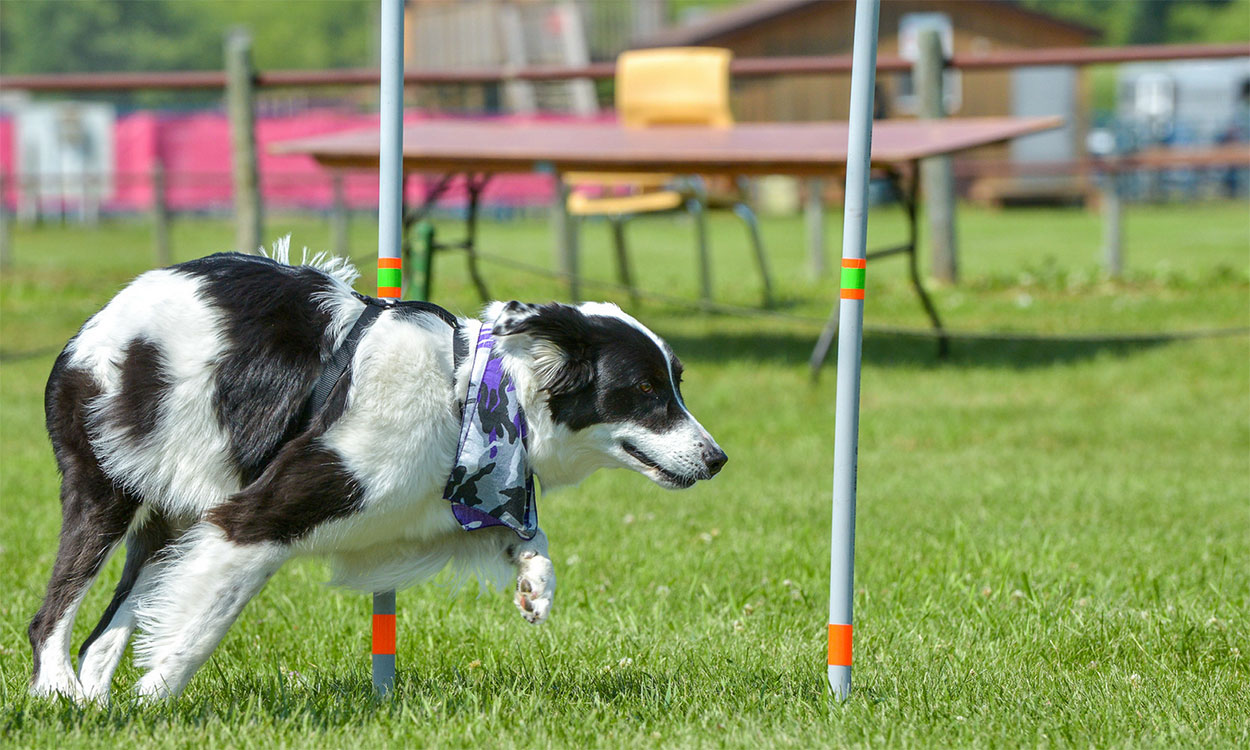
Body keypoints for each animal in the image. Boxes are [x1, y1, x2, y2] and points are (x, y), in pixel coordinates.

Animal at [29, 241, 730, 705]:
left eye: (675, 384)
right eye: (645, 390)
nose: (717, 458)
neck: (472, 397)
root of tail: (103, 316)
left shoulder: (432, 505)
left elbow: (528, 534)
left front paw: (535, 582)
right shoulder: (257, 516)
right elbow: (199, 628)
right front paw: (154, 696)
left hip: (177, 505)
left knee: (104, 630)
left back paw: (91, 697)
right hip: (107, 489)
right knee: (53, 615)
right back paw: (59, 691)